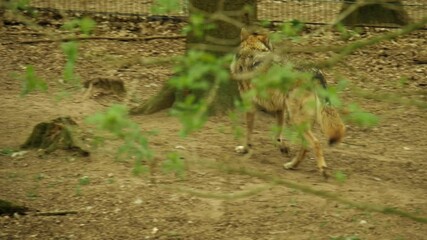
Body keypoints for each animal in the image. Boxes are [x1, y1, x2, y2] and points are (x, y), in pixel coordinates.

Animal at [229, 28, 346, 178]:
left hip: (295, 118)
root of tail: (313, 72)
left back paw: (321, 169)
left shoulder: (250, 106)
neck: (252, 50)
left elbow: (248, 132)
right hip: (303, 120)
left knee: (315, 143)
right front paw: (283, 147)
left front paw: (244, 149)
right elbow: (277, 135)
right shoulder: (279, 109)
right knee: (305, 146)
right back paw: (292, 165)